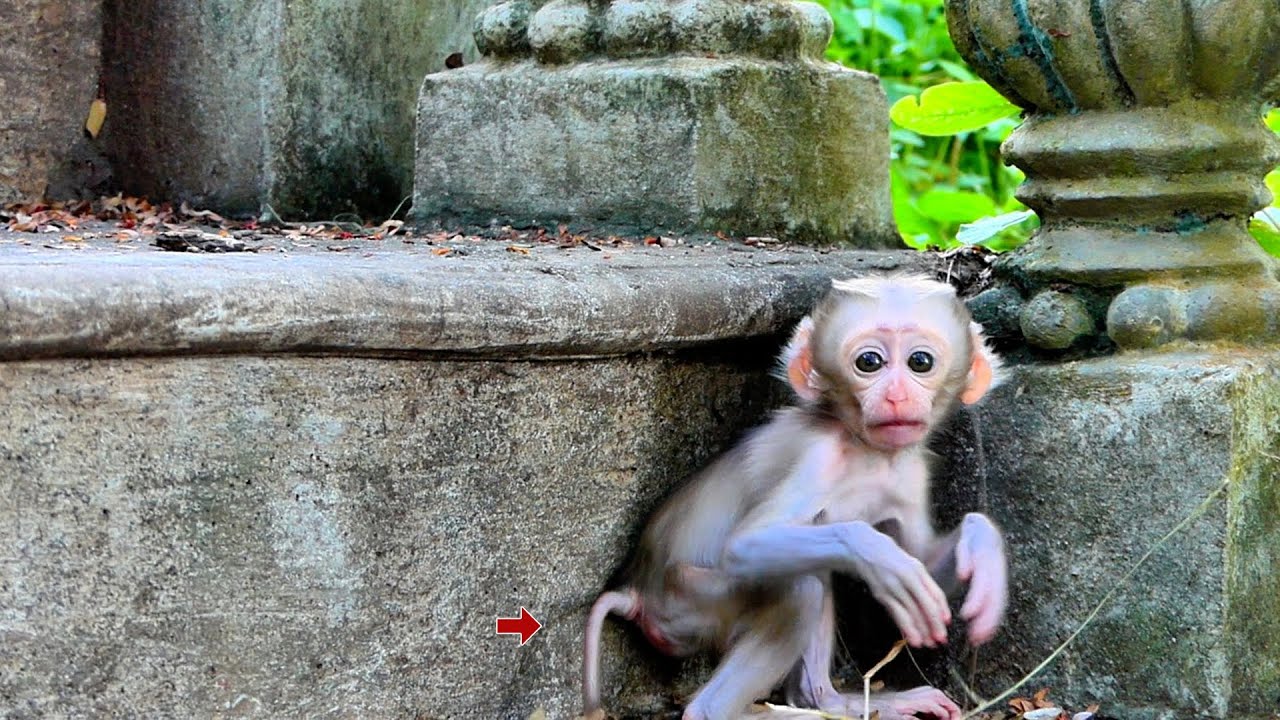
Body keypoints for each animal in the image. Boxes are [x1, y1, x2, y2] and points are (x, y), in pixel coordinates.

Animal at [582, 274, 1008, 720]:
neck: (868, 454)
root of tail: (639, 594)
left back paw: (833, 701)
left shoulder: (910, 474)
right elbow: (745, 545)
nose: (895, 396)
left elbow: (926, 564)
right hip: (691, 603)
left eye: (920, 362)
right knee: (800, 588)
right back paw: (727, 709)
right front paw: (879, 556)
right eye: (869, 362)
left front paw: (984, 553)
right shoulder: (817, 455)